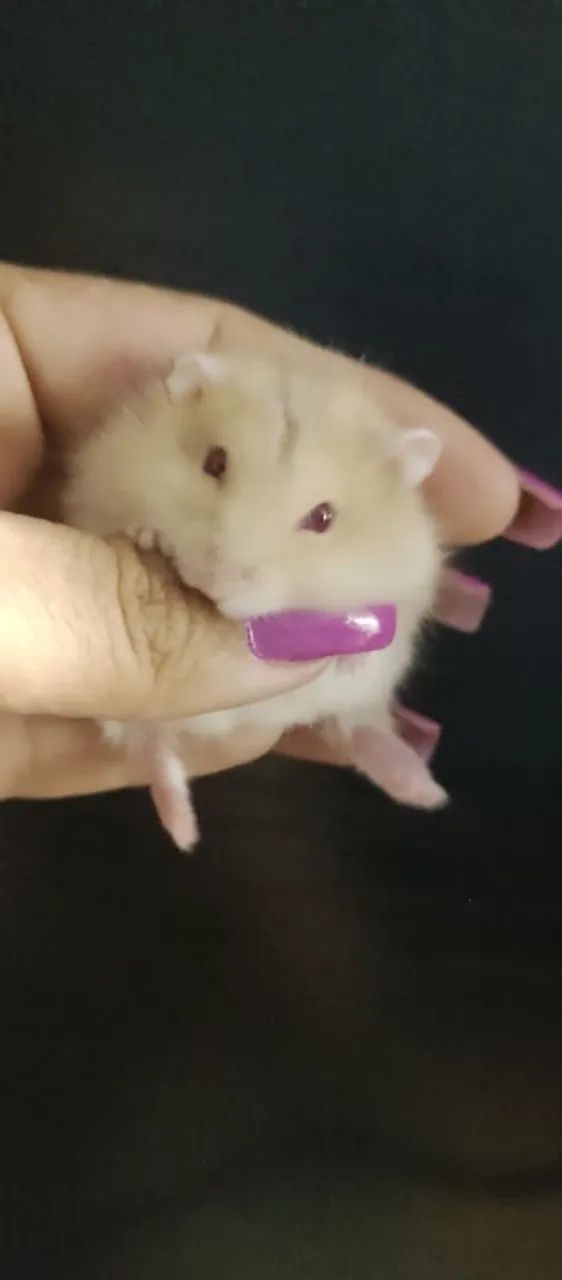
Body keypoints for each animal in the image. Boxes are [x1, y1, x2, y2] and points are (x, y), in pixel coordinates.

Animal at [62, 350, 446, 852]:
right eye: (215, 462)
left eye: (323, 517)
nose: (222, 582)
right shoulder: (96, 487)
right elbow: (118, 522)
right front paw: (149, 538)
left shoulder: (413, 572)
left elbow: (390, 611)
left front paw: (350, 649)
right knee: (155, 749)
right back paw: (185, 833)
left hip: (361, 702)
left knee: (359, 728)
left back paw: (426, 792)